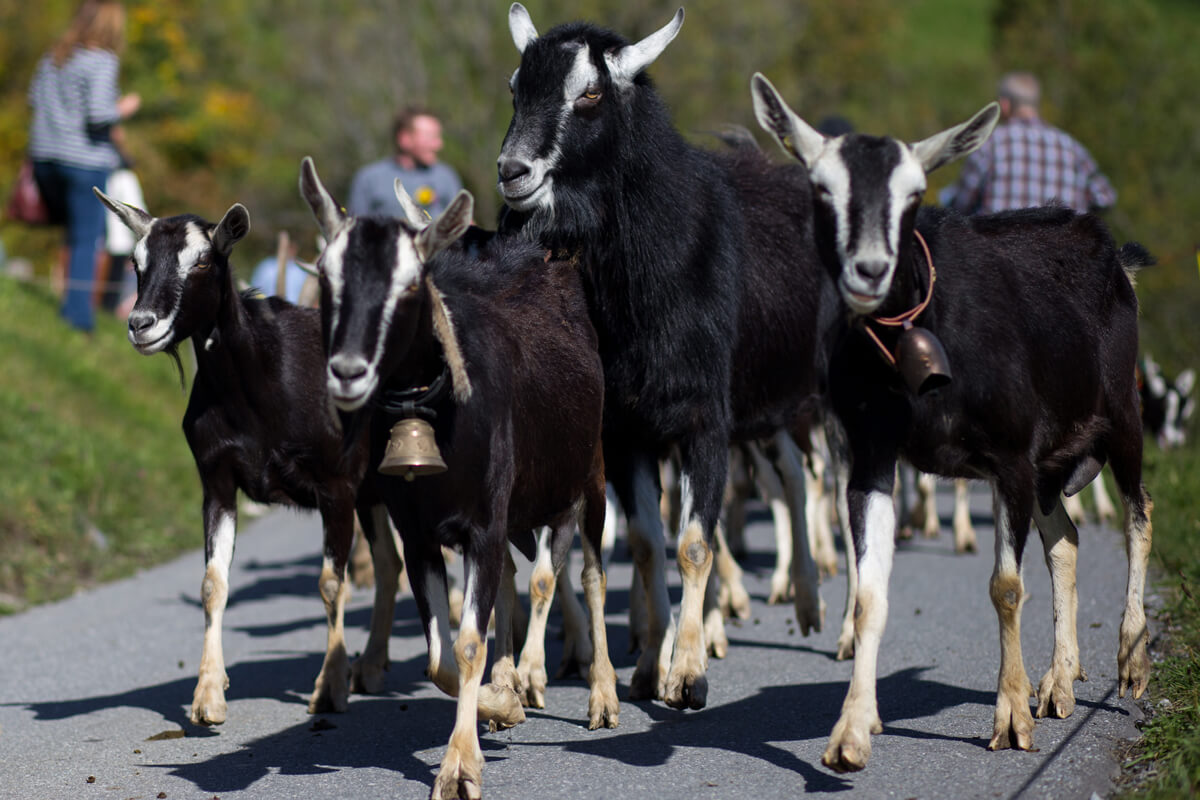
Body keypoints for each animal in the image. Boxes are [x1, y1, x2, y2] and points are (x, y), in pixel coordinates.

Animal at [94, 185, 398, 724]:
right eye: (135, 261)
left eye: (201, 261)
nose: (140, 324)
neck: (259, 387)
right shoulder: (217, 482)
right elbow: (213, 584)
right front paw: (208, 697)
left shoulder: (336, 487)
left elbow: (330, 583)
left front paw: (329, 687)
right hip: (374, 489)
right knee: (389, 564)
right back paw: (373, 666)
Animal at [300, 158, 619, 800]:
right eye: (326, 275)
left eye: (410, 284)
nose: (347, 372)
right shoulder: (422, 534)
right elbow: (440, 659)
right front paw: (501, 702)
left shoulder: (483, 525)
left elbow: (470, 640)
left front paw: (459, 766)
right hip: (523, 508)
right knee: (519, 581)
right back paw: (514, 677)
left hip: (588, 477)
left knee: (590, 575)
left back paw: (600, 694)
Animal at [496, 4, 825, 705]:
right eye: (516, 88)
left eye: (590, 94)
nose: (513, 172)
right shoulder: (626, 428)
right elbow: (649, 543)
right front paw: (651, 665)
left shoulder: (704, 418)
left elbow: (695, 543)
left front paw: (690, 675)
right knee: (788, 474)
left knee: (810, 480)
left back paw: (822, 613)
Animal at [748, 76, 1152, 777]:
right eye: (821, 188)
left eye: (916, 194)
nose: (869, 270)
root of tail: (1109, 251)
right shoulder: (872, 458)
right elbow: (870, 592)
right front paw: (850, 735)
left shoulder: (1011, 456)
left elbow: (1006, 587)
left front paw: (1010, 719)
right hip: (1051, 464)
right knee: (1066, 541)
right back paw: (1059, 683)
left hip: (1119, 415)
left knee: (1139, 516)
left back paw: (1129, 657)